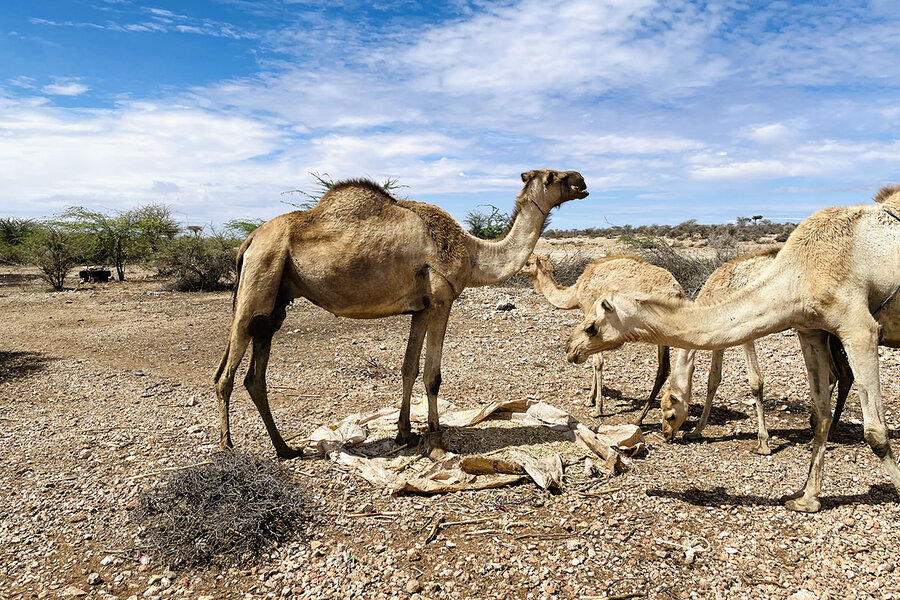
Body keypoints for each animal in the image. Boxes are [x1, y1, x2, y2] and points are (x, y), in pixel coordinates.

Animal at [214, 166, 588, 458]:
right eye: (554, 176)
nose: (582, 181)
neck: (473, 252)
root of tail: (249, 240)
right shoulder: (441, 301)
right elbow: (432, 375)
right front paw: (435, 437)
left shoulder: (420, 308)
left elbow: (409, 368)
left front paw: (404, 432)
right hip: (258, 280)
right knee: (225, 375)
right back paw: (228, 449)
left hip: (273, 306)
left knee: (255, 375)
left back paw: (286, 449)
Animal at [520, 252, 684, 418]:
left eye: (527, 263)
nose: (519, 270)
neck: (576, 293)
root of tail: (678, 291)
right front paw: (590, 400)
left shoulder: (592, 316)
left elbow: (596, 362)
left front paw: (597, 407)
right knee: (666, 367)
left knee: (664, 367)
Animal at [660, 251, 852, 452]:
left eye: (670, 415)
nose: (666, 435)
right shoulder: (719, 335)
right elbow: (713, 379)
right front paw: (696, 431)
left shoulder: (743, 331)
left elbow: (755, 381)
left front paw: (763, 443)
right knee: (837, 375)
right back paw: (824, 432)